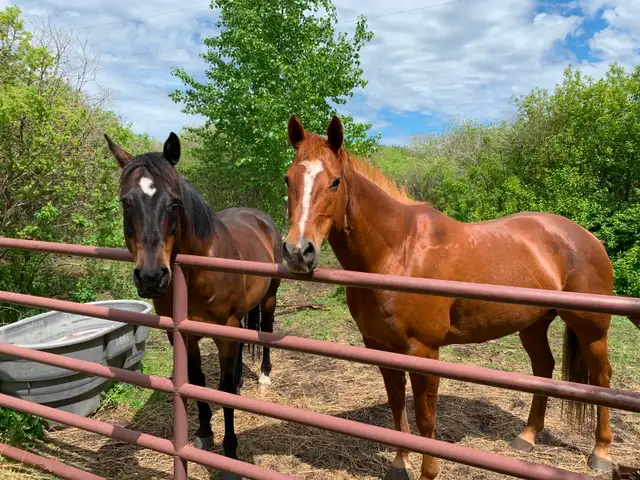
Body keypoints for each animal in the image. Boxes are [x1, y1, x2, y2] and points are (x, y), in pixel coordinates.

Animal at [104, 132, 282, 475]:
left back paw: (264, 375)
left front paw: (230, 451)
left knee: (265, 331)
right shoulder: (184, 335)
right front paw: (204, 432)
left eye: (174, 202)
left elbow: (222, 390)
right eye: (125, 202)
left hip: (268, 299)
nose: (151, 276)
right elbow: (196, 380)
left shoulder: (224, 331)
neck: (200, 271)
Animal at [281, 114, 638, 480]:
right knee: (543, 369)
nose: (298, 252)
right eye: (287, 179)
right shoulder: (379, 347)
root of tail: (587, 237)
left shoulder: (424, 351)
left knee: (602, 378)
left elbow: (426, 418)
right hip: (534, 324)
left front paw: (428, 472)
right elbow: (397, 408)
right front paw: (399, 465)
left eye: (335, 182)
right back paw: (526, 437)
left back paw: (600, 453)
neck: (397, 251)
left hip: (591, 328)